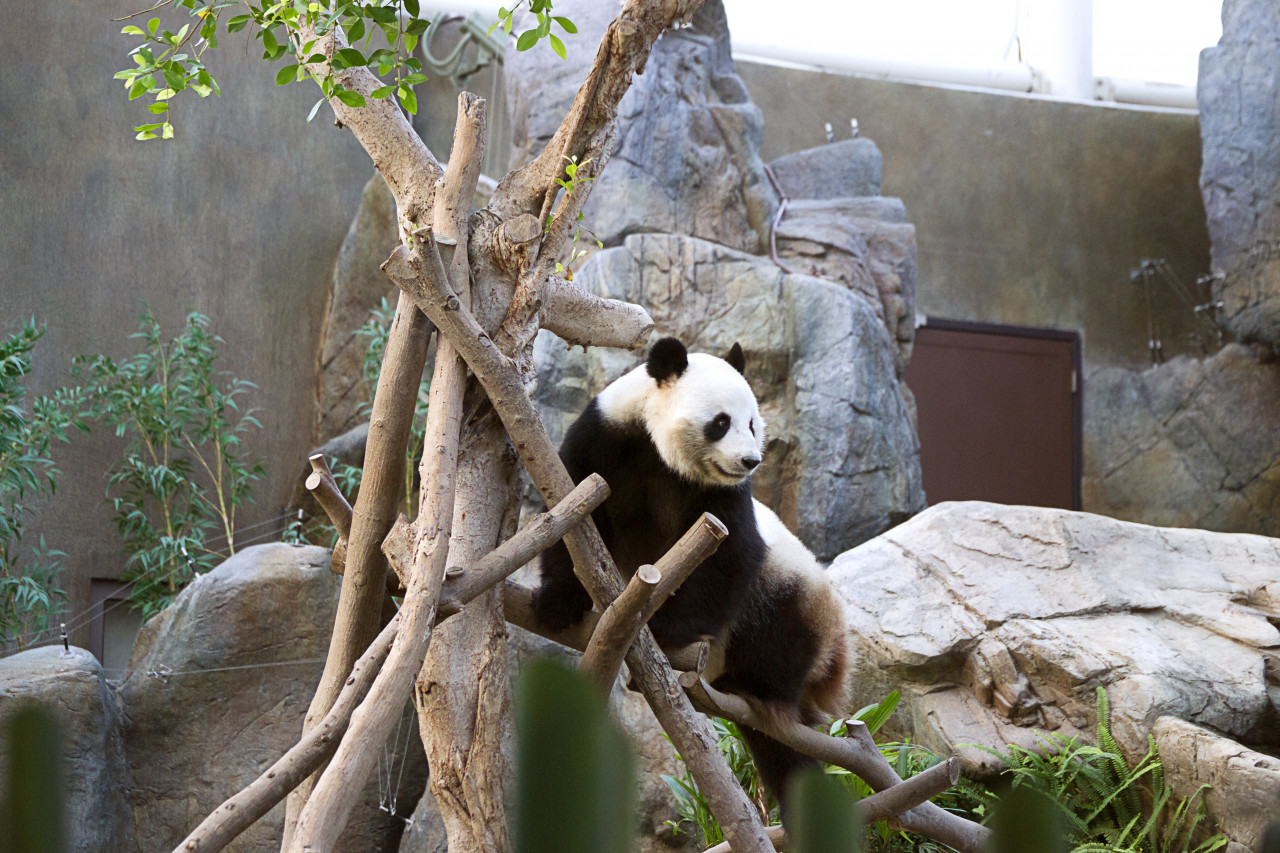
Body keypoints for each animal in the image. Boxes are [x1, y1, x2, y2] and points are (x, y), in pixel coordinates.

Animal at [529, 335, 849, 809]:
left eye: (752, 423)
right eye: (721, 422)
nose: (750, 461)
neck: (659, 449)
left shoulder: (722, 496)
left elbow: (730, 552)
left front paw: (666, 630)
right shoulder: (604, 441)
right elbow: (571, 517)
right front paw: (558, 603)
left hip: (799, 594)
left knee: (781, 625)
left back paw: (752, 685)